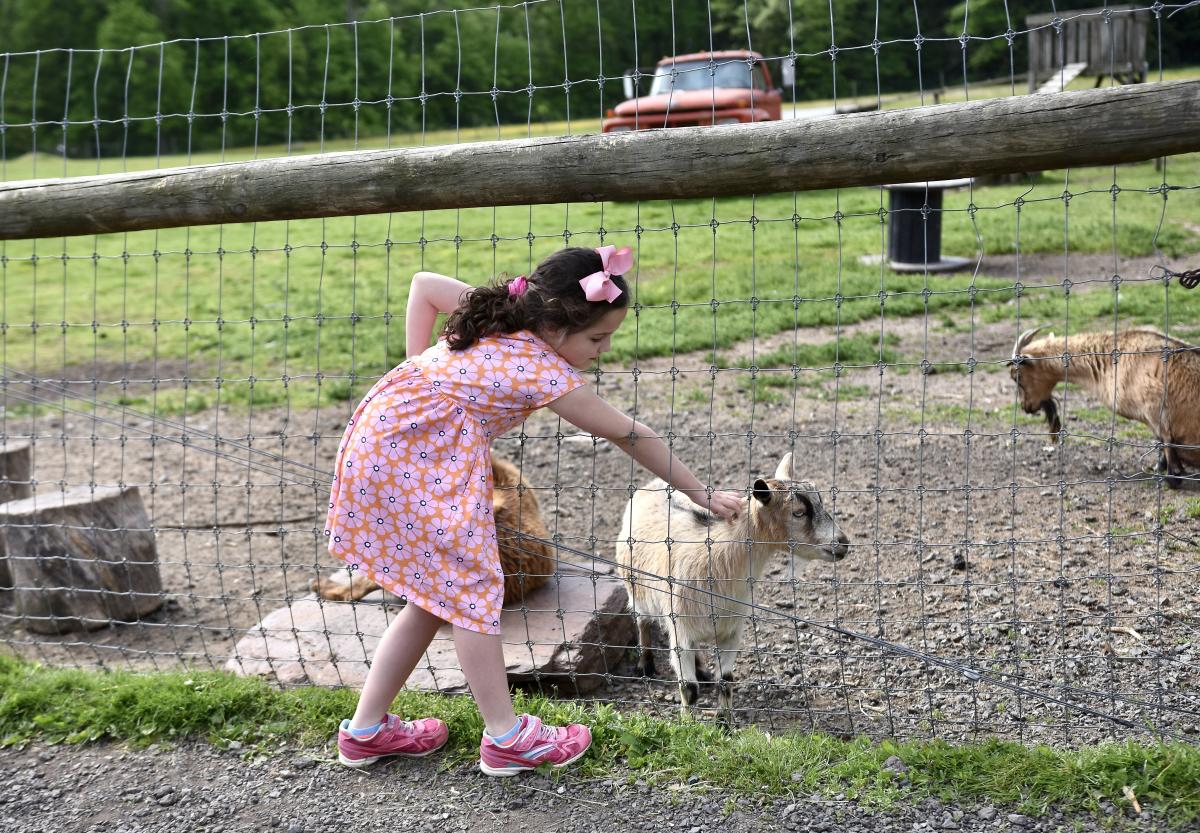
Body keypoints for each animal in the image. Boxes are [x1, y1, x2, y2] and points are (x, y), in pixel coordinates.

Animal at [619, 453, 844, 720]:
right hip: (636, 590)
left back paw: (702, 670)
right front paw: (687, 723)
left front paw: (725, 721)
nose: (843, 543)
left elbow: (725, 680)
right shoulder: (680, 630)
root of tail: (653, 483)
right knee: (642, 620)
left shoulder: (732, 631)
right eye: (798, 513)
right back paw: (646, 666)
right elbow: (689, 688)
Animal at [1008, 328, 1200, 489]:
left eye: (1018, 377)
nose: (1026, 407)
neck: (1110, 362)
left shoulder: (1156, 410)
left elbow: (1167, 445)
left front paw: (1171, 478)